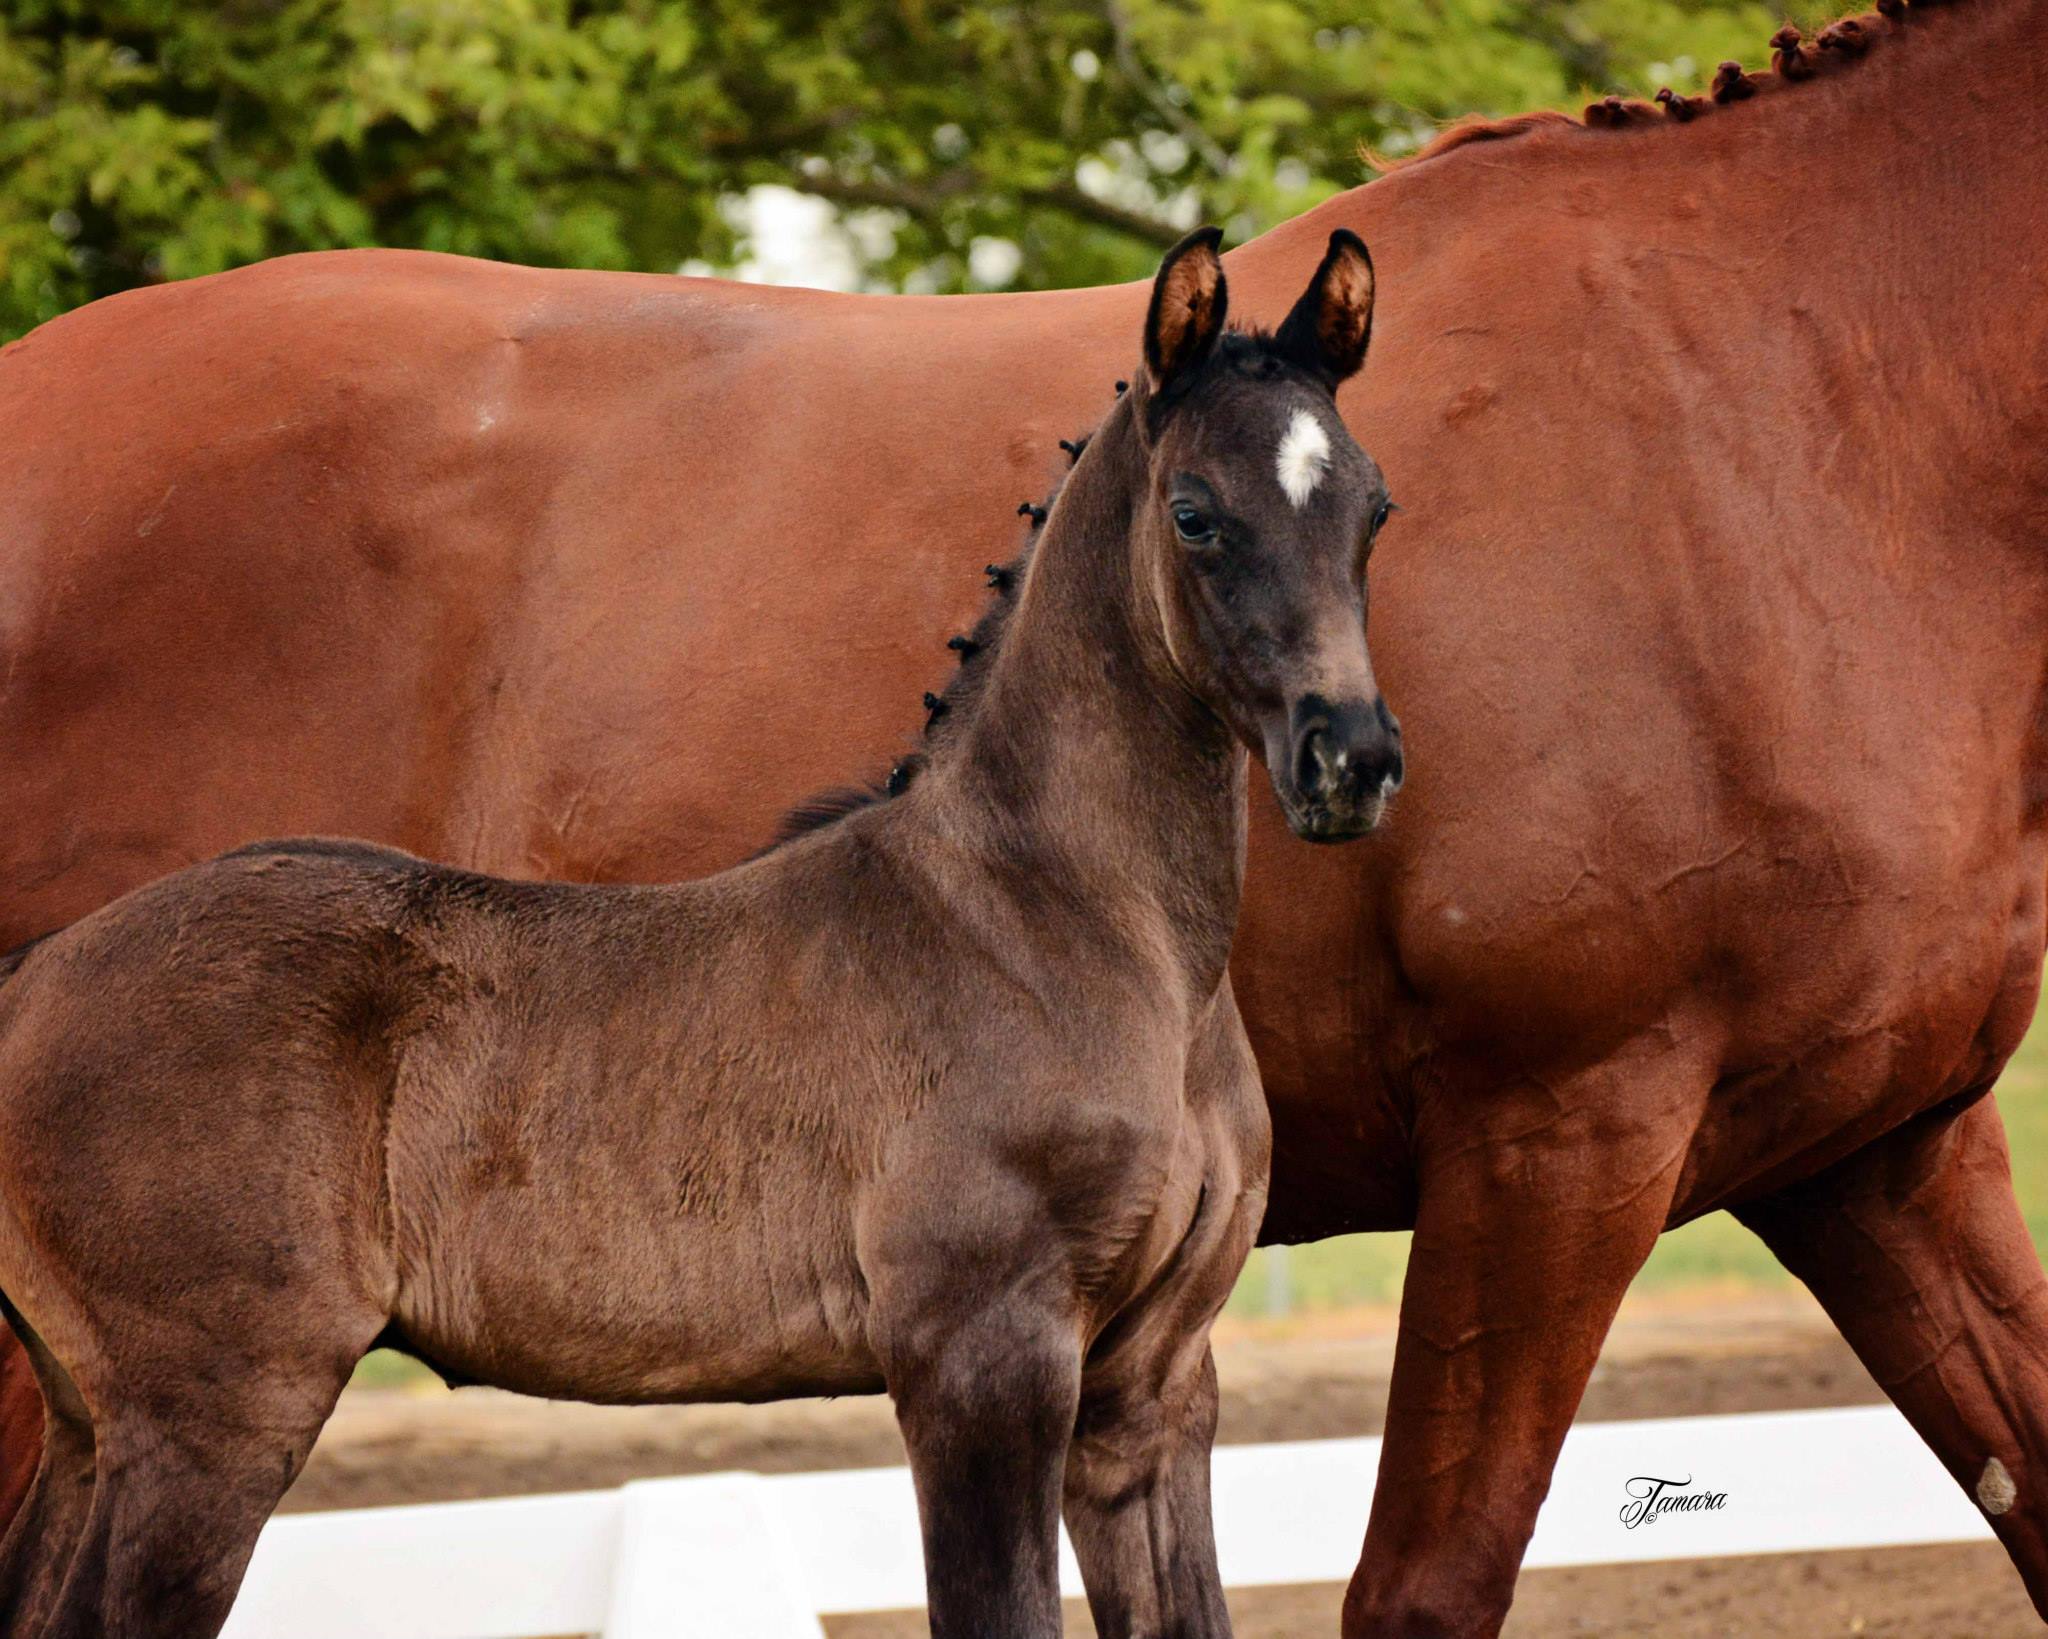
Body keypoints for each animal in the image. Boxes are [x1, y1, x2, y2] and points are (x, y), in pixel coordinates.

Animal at [0, 233, 1400, 1639]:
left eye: (1372, 507)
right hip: (214, 1415)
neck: (1064, 923)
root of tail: (31, 981)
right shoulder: (979, 1355)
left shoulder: (1149, 1393)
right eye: (1194, 513)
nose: (1350, 759)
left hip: (91, 1422)